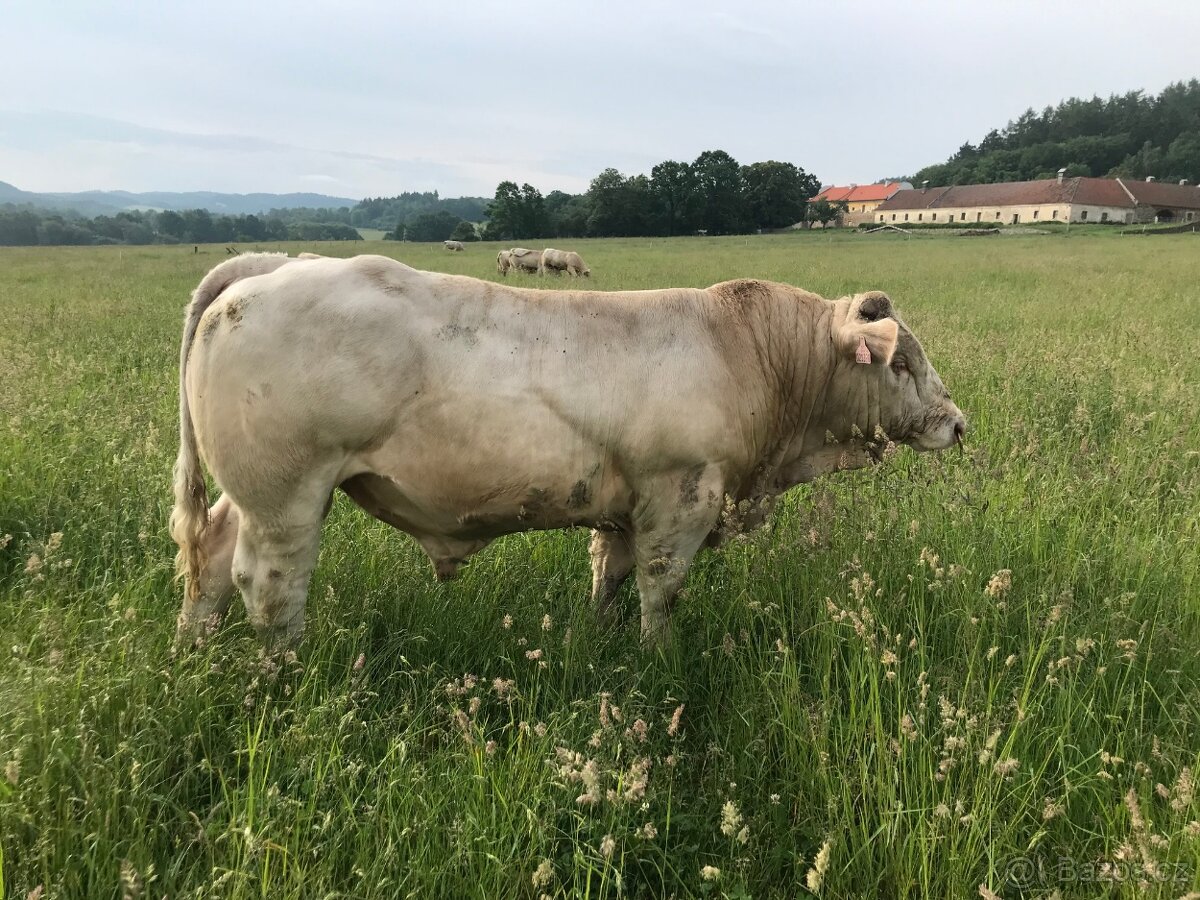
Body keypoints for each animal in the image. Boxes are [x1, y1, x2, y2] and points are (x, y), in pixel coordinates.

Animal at [171, 254, 964, 648]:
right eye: (900, 362)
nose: (957, 423)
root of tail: (262, 272)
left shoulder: (624, 506)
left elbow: (609, 578)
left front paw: (603, 642)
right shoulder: (682, 495)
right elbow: (660, 591)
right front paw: (657, 659)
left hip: (252, 495)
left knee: (210, 559)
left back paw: (195, 653)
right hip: (288, 493)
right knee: (269, 588)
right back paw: (287, 673)